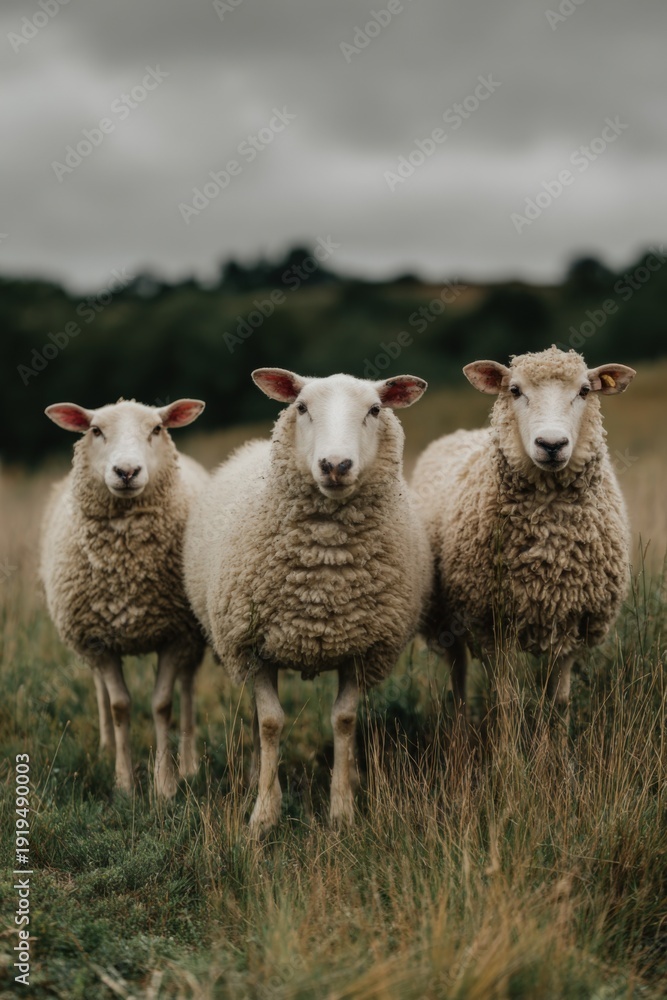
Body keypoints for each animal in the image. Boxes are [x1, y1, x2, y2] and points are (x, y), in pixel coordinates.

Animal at [40, 397, 208, 797]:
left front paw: (165, 785)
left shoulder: (176, 635)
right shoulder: (97, 640)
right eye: (95, 430)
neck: (125, 566)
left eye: (157, 429)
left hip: (194, 639)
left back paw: (190, 763)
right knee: (100, 691)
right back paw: (104, 748)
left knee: (188, 688)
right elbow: (119, 706)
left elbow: (162, 704)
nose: (127, 471)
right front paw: (124, 782)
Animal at [184, 369, 431, 833]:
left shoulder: (362, 649)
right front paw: (263, 814)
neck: (324, 568)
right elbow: (270, 723)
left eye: (375, 409)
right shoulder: (252, 647)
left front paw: (342, 808)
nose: (335, 465)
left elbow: (344, 719)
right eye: (301, 407)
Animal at [412, 346, 636, 720]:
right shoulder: (489, 626)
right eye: (515, 390)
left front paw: (556, 738)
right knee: (458, 676)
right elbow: (506, 700)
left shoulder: (573, 622)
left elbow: (559, 702)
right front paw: (506, 738)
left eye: (584, 391)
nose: (552, 444)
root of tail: (458, 433)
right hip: (446, 620)